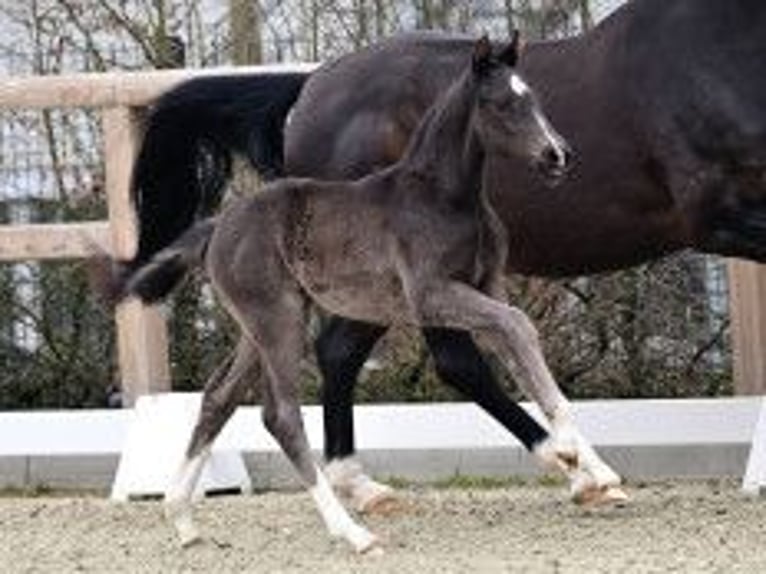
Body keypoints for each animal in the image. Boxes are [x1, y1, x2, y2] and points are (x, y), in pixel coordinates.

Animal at [107, 35, 603, 553]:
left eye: (535, 99)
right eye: (501, 103)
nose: (558, 155)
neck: (443, 198)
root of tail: (217, 227)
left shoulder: (486, 285)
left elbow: (517, 345)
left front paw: (583, 462)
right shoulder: (431, 294)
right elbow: (518, 326)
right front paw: (570, 452)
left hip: (258, 327)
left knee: (218, 397)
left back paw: (181, 517)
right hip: (279, 321)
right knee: (281, 415)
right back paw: (352, 532)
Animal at [125, 0, 766, 511]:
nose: (559, 154)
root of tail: (308, 89)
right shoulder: (720, 218)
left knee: (356, 353)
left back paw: (370, 484)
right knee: (440, 360)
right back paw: (578, 470)